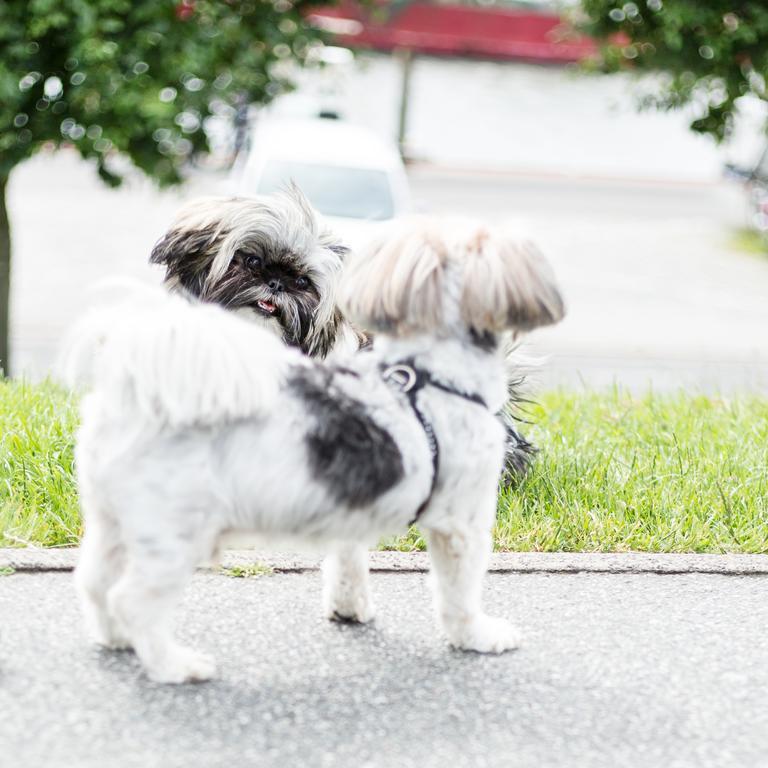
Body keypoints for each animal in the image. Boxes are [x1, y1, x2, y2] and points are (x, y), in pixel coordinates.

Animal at [70, 216, 564, 684]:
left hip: (116, 522)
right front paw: (477, 635)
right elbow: (459, 591)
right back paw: (173, 664)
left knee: (95, 583)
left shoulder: (353, 503)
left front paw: (350, 608)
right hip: (172, 534)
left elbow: (347, 563)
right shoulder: (460, 523)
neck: (429, 375)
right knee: (133, 599)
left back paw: (117, 638)